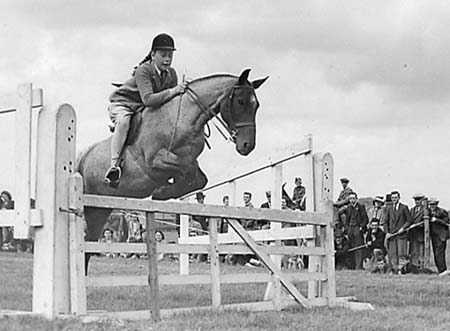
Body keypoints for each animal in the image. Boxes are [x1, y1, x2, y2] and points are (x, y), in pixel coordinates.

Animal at [77, 68, 268, 270]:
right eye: (240, 101)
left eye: (256, 105)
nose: (247, 146)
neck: (183, 118)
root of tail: (80, 158)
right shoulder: (156, 162)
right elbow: (185, 173)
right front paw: (162, 191)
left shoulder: (189, 161)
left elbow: (198, 180)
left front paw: (164, 191)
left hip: (100, 210)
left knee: (88, 247)